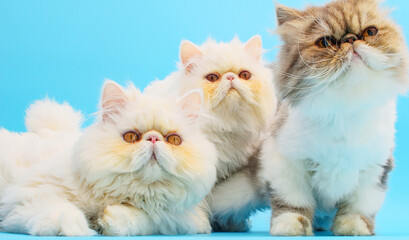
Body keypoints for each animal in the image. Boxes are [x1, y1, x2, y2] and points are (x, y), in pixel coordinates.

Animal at [0, 80, 217, 236]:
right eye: (131, 137)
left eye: (173, 140)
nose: (154, 138)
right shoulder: (27, 198)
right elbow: (62, 210)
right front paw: (77, 229)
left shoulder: (177, 220)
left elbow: (143, 218)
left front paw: (109, 220)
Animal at [145, 35, 276, 231]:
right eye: (212, 78)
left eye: (244, 75)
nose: (230, 77)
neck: (224, 126)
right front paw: (203, 225)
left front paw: (234, 226)